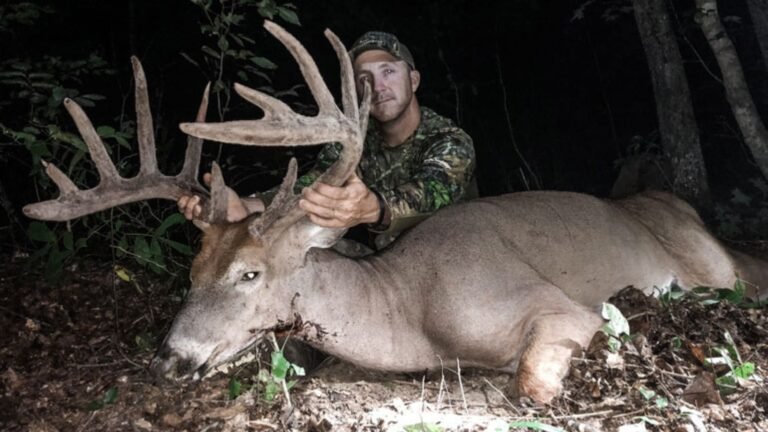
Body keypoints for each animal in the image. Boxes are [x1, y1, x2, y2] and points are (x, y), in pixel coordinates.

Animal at [24, 21, 768, 404]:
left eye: (250, 274)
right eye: (192, 270)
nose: (171, 361)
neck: (411, 307)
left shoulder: (561, 307)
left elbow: (531, 382)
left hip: (713, 265)